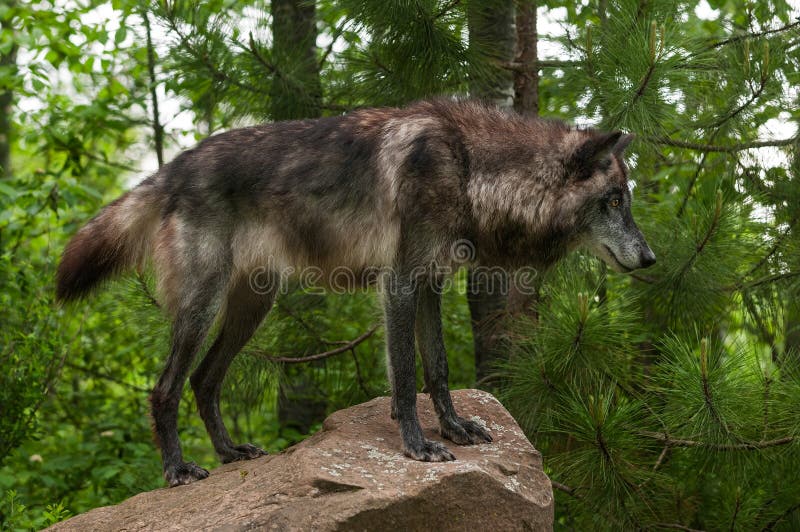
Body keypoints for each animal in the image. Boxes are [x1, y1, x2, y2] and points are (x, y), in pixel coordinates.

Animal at [56, 98, 656, 486]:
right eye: (614, 201)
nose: (651, 259)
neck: (470, 166)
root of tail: (174, 166)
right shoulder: (400, 284)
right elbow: (408, 375)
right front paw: (417, 447)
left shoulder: (431, 284)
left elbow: (438, 369)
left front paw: (455, 429)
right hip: (204, 307)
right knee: (165, 389)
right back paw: (178, 470)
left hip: (252, 307)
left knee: (205, 380)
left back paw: (230, 452)